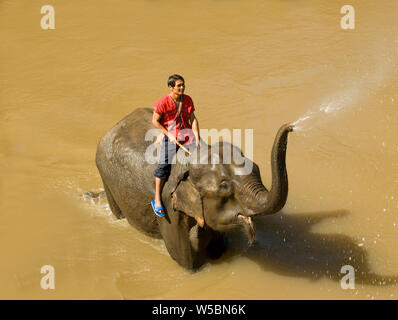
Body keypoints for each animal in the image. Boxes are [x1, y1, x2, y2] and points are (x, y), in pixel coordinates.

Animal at [94, 108, 292, 270]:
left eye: (257, 168)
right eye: (224, 186)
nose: (290, 126)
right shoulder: (168, 208)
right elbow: (185, 262)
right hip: (105, 177)